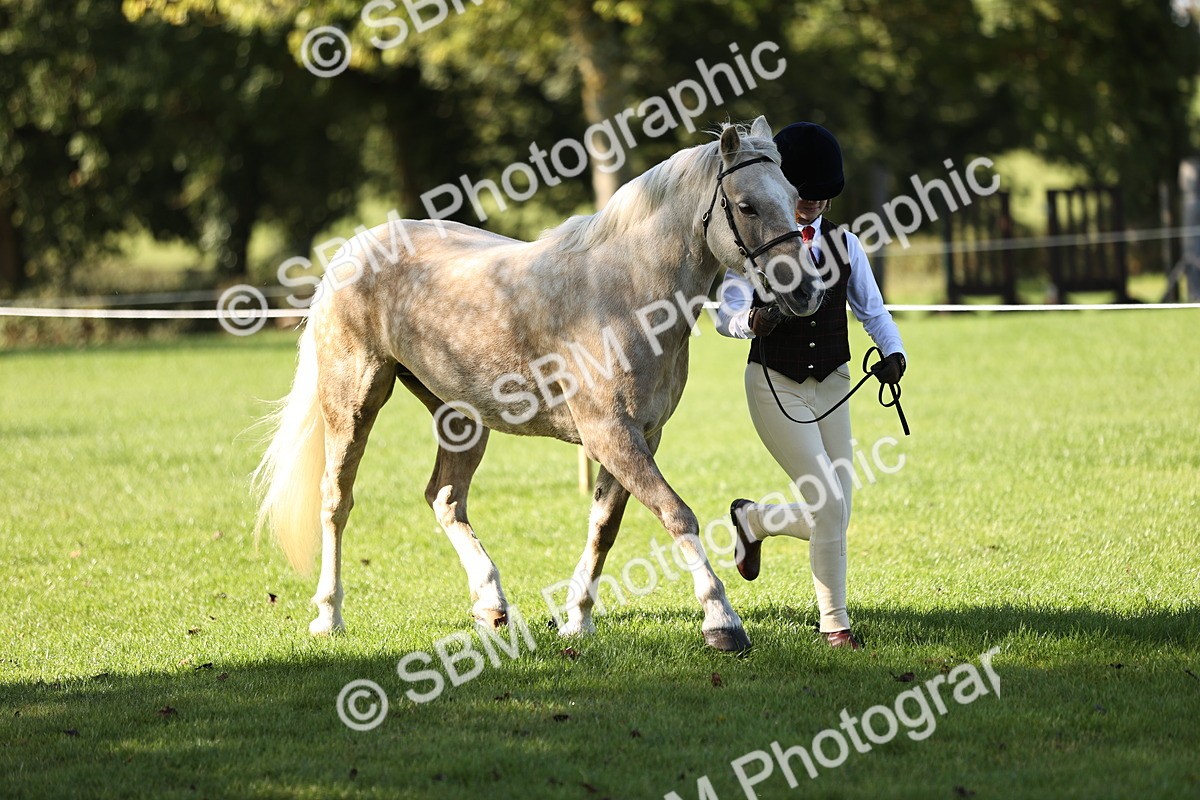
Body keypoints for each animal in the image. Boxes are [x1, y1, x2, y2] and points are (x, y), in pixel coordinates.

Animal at [253, 115, 825, 651]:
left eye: (794, 198)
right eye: (747, 206)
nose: (805, 293)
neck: (627, 294)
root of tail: (352, 250)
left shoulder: (638, 437)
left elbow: (604, 527)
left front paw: (577, 619)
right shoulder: (613, 436)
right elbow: (676, 514)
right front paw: (722, 621)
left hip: (460, 417)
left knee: (445, 499)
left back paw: (492, 605)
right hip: (353, 404)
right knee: (336, 501)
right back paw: (329, 615)